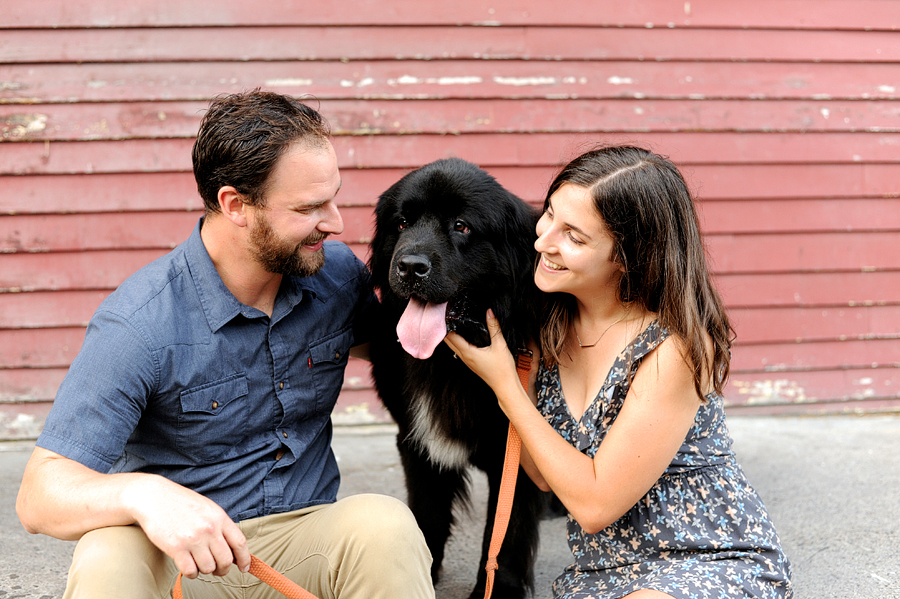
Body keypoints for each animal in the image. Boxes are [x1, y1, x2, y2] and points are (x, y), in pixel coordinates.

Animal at [370, 157, 544, 596]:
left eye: (462, 226)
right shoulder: (416, 440)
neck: (448, 360)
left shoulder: (517, 450)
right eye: (402, 223)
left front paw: (496, 591)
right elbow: (427, 516)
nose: (410, 267)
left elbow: (504, 535)